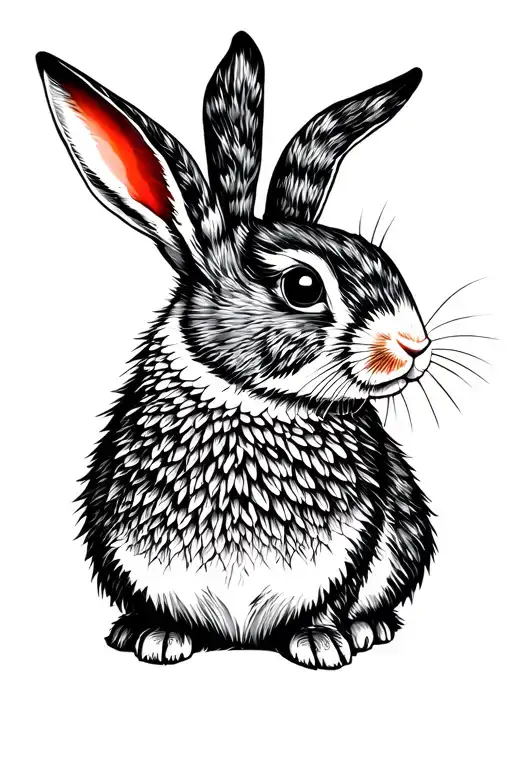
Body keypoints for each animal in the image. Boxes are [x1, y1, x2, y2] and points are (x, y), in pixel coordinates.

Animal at [36, 31, 435, 670]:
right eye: (303, 286)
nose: (414, 345)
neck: (251, 396)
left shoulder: (351, 555)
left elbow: (328, 602)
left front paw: (322, 643)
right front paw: (157, 638)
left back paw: (365, 629)